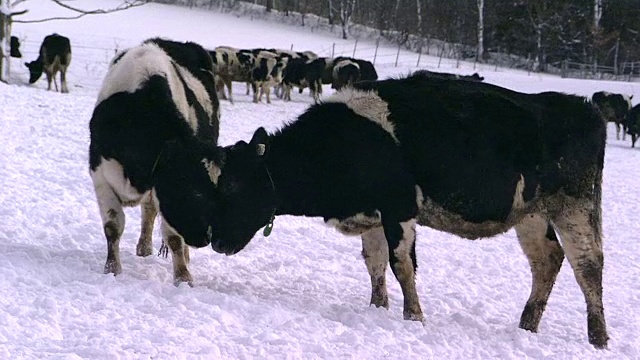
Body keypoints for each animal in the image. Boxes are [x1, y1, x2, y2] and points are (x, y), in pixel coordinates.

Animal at [88, 38, 220, 286]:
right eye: (192, 191)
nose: (207, 237)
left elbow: (174, 238)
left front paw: (183, 277)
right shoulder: (100, 173)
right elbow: (112, 226)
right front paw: (112, 269)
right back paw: (144, 248)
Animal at [151, 71, 608, 348]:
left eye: (234, 185)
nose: (218, 242)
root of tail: (582, 107)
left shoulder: (399, 207)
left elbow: (401, 264)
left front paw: (413, 317)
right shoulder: (371, 216)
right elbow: (374, 264)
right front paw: (378, 308)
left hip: (576, 205)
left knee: (588, 264)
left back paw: (598, 338)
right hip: (532, 214)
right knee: (548, 260)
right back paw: (527, 327)